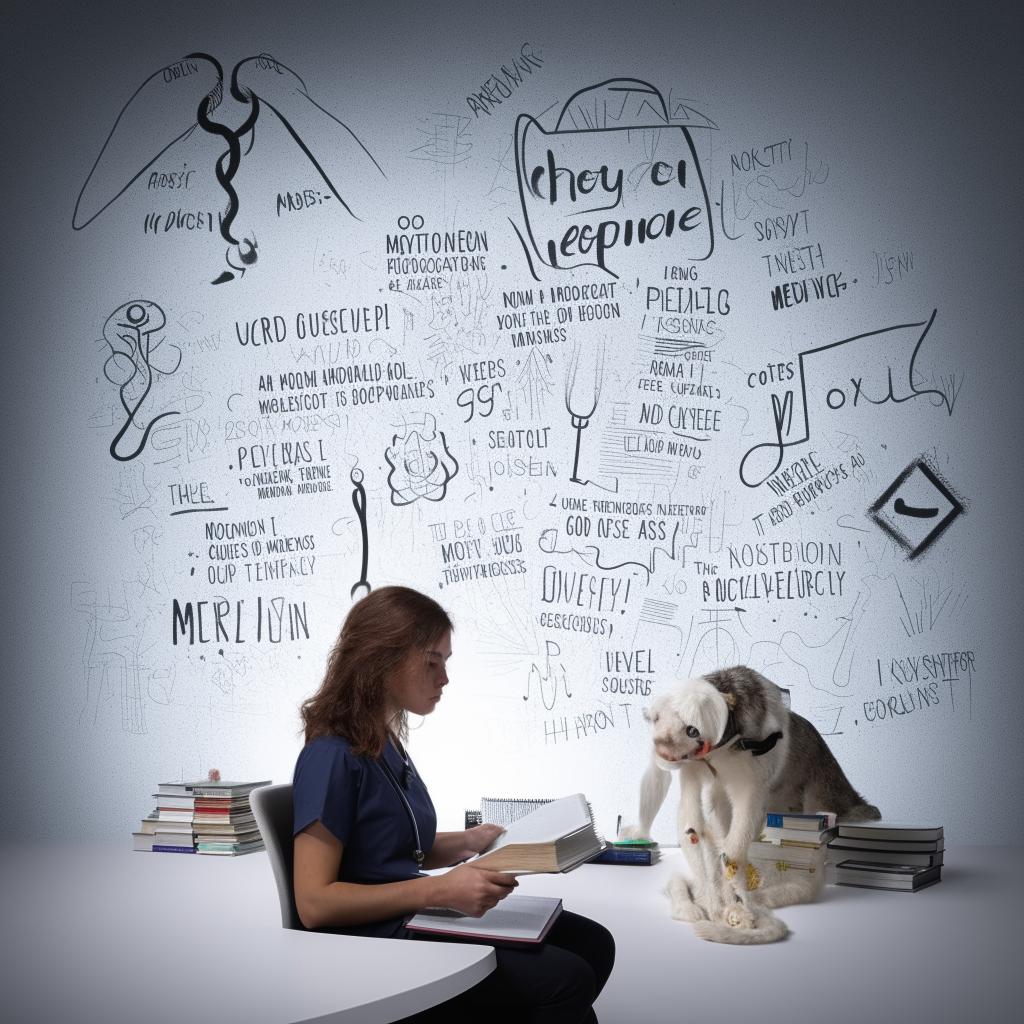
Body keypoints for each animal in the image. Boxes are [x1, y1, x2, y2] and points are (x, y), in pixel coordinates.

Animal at [622, 663, 880, 942]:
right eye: (658, 719)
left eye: (692, 730)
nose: (661, 748)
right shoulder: (695, 773)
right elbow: (693, 824)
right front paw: (714, 902)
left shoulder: (751, 783)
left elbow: (734, 840)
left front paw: (735, 905)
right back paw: (695, 906)